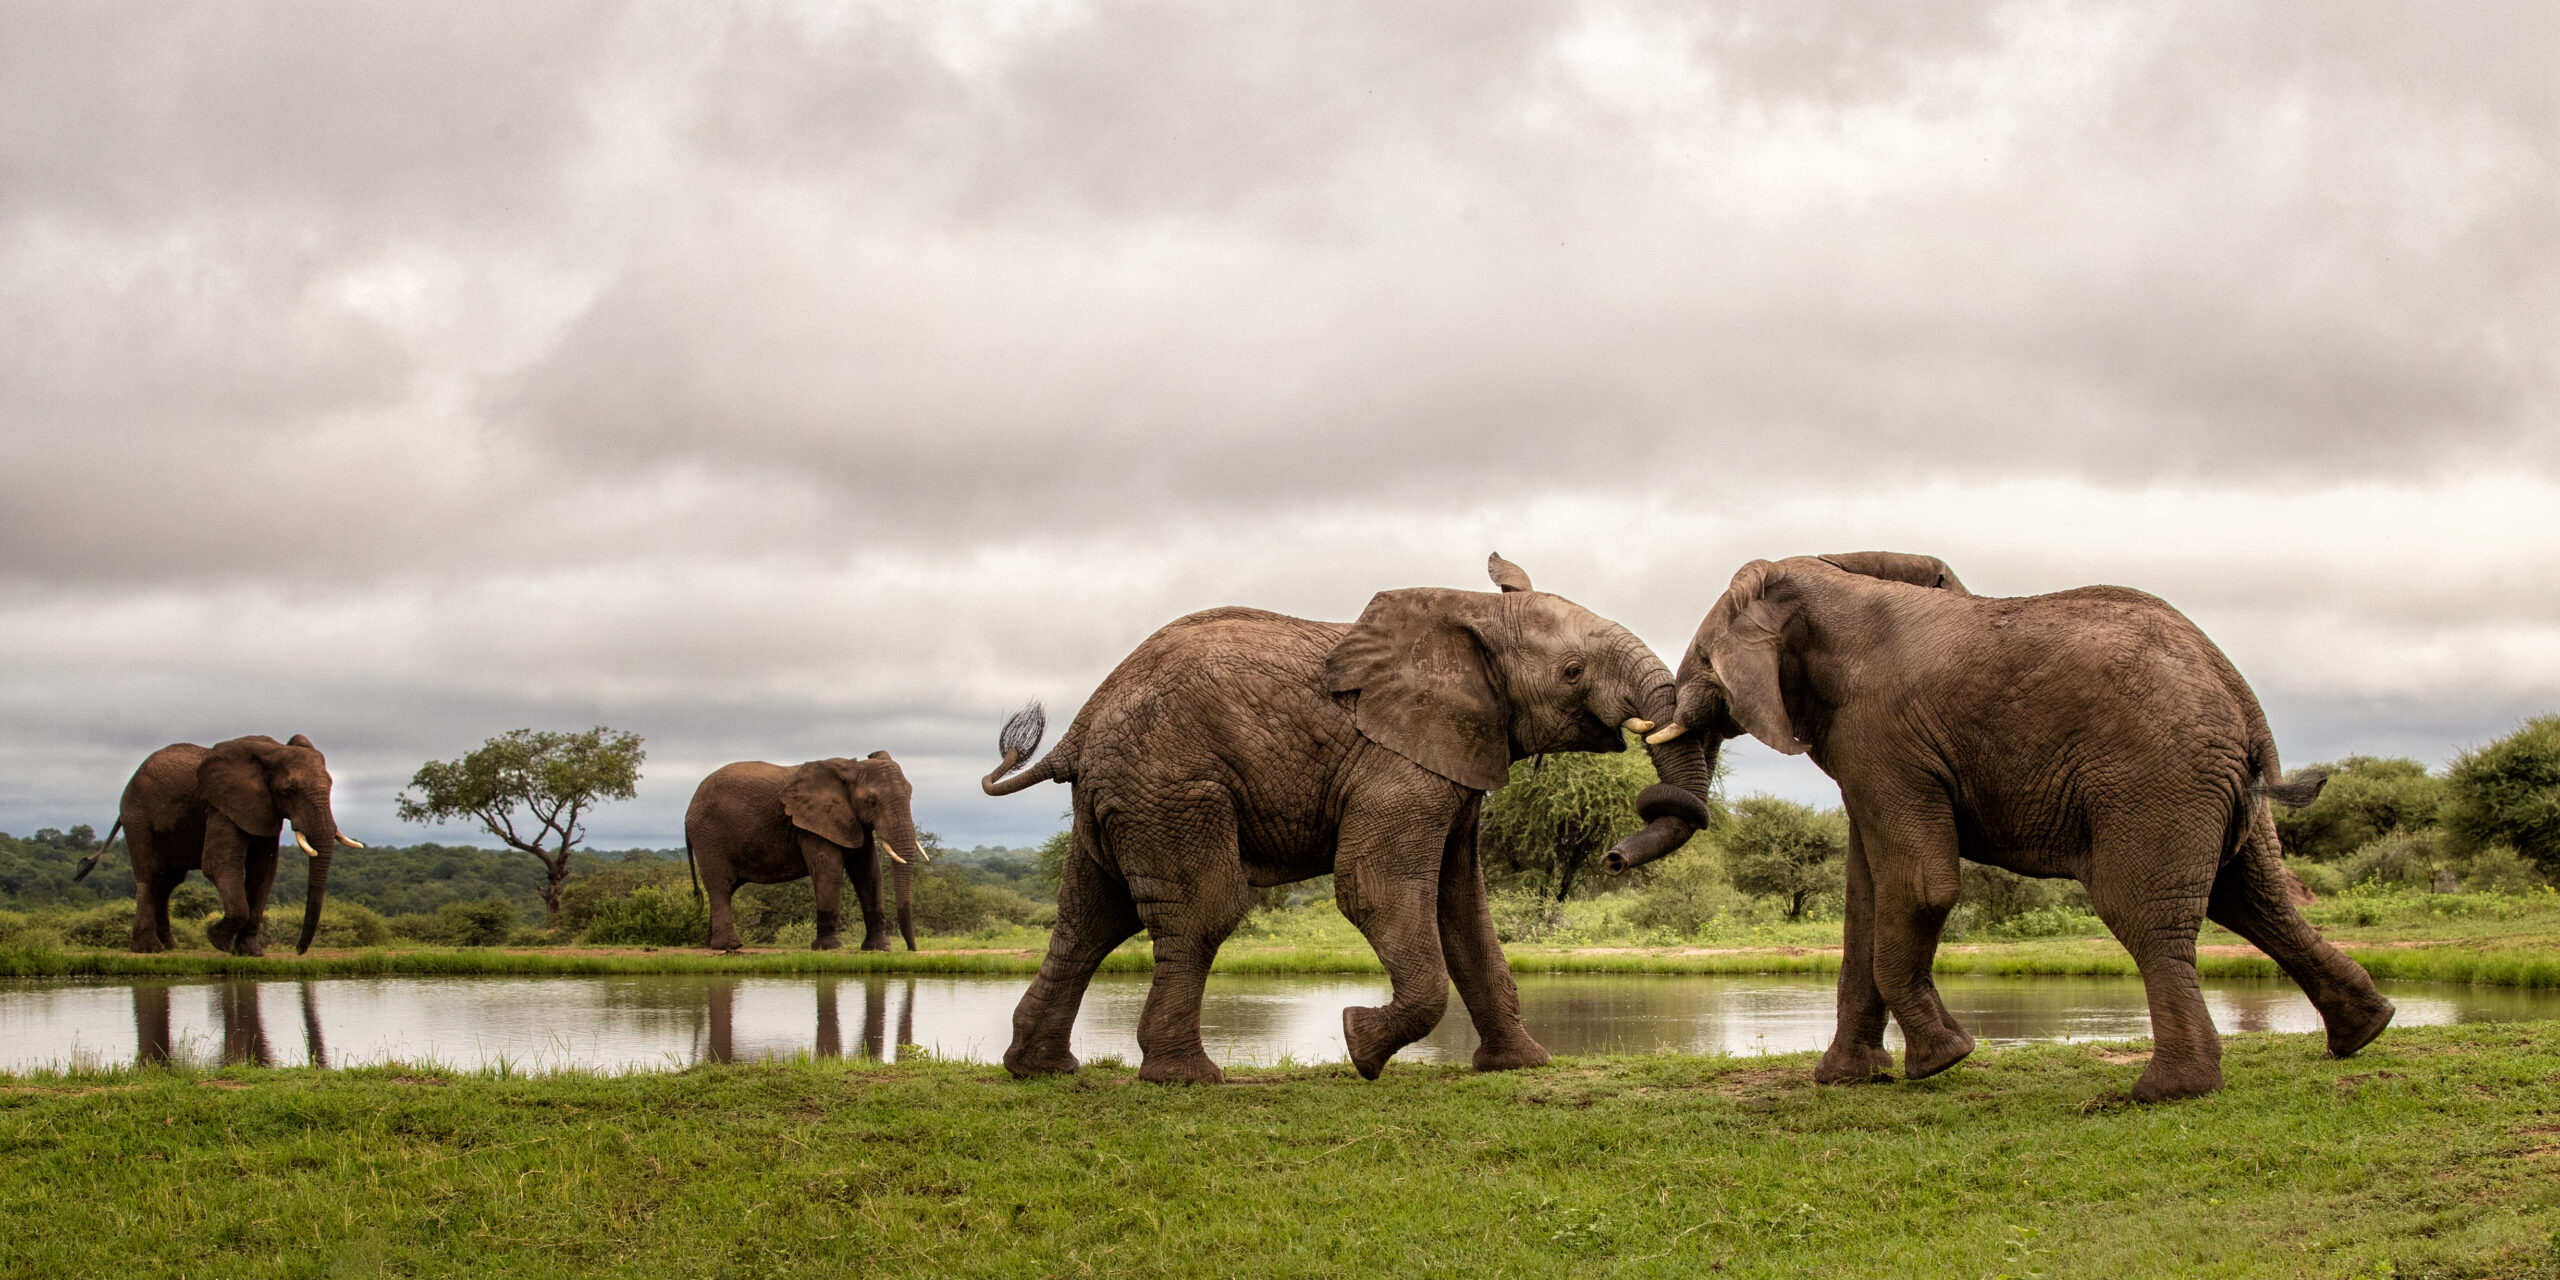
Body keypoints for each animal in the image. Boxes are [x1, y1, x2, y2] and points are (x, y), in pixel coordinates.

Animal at [76, 734, 362, 956]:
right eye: (289, 791)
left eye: (331, 786)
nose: (299, 951)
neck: (272, 752)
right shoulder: (220, 807)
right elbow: (219, 865)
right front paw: (217, 941)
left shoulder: (263, 810)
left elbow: (263, 871)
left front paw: (250, 952)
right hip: (138, 817)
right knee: (150, 875)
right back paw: (149, 949)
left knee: (168, 883)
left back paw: (170, 947)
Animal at [683, 752, 929, 952]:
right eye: (871, 802)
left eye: (910, 794)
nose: (912, 949)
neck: (850, 769)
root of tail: (689, 808)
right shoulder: (811, 824)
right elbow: (829, 871)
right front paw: (829, 948)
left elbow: (869, 873)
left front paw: (879, 948)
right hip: (710, 836)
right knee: (720, 885)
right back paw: (730, 946)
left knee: (728, 888)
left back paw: (711, 944)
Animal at [981, 554, 1721, 1084]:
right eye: (1571, 671)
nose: (1613, 857)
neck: (1470, 617)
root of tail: (1077, 729)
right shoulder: (1396, 764)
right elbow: (1377, 890)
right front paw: (1360, 1047)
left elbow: (1463, 909)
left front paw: (1521, 1066)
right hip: (1170, 788)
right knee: (1201, 910)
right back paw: (1186, 1079)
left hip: (1124, 795)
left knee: (1090, 917)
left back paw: (1039, 1070)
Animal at [1628, 551, 2393, 1102]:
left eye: (1704, 659)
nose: (1611, 857)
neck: (1825, 581)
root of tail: (2241, 697)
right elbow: (1867, 897)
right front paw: (1845, 1080)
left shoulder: (1882, 735)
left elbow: (1922, 884)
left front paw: (1941, 1062)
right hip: (2218, 791)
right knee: (2257, 900)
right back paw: (2363, 1034)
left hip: (2155, 780)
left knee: (2145, 913)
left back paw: (2165, 1092)